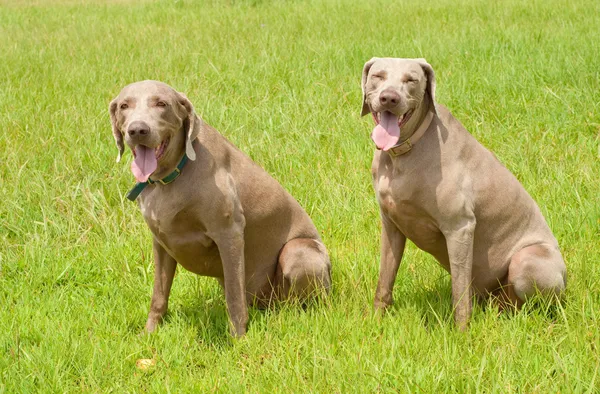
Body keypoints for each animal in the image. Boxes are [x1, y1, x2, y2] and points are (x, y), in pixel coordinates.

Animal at [109, 80, 330, 336]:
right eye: (124, 106)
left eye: (161, 103)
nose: (137, 130)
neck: (172, 176)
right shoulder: (160, 240)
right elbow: (159, 294)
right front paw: (149, 334)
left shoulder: (229, 233)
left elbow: (234, 297)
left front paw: (238, 338)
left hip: (299, 251)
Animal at [360, 57, 568, 330]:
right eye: (378, 76)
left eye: (411, 79)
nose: (389, 99)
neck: (404, 152)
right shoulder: (391, 224)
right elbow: (384, 281)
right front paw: (375, 323)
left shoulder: (460, 227)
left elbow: (459, 291)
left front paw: (461, 332)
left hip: (527, 260)